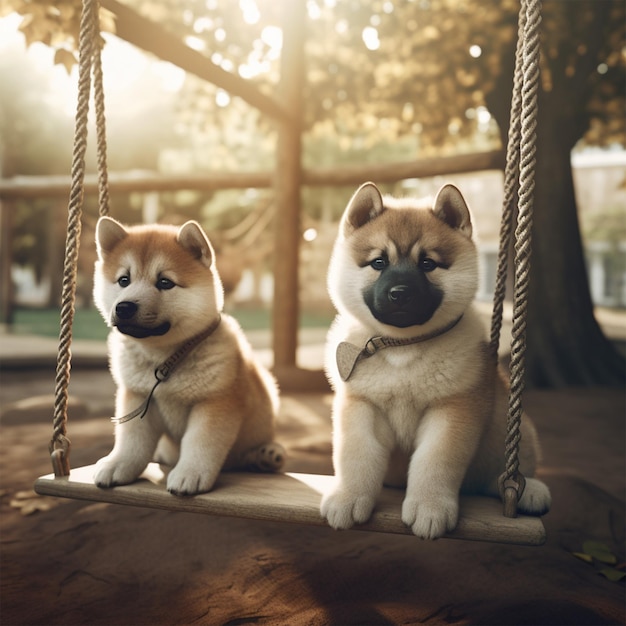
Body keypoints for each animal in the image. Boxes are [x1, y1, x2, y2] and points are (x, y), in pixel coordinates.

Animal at [92, 217, 282, 494]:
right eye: (124, 280)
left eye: (165, 282)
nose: (124, 307)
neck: (165, 360)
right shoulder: (137, 396)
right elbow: (131, 442)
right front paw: (118, 465)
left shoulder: (215, 403)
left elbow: (200, 443)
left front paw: (190, 474)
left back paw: (266, 455)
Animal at [320, 180, 548, 536]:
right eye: (379, 262)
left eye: (427, 264)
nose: (399, 293)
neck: (402, 346)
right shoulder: (361, 407)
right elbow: (356, 456)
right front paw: (348, 498)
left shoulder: (451, 410)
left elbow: (435, 462)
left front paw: (430, 507)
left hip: (510, 431)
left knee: (504, 475)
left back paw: (530, 491)